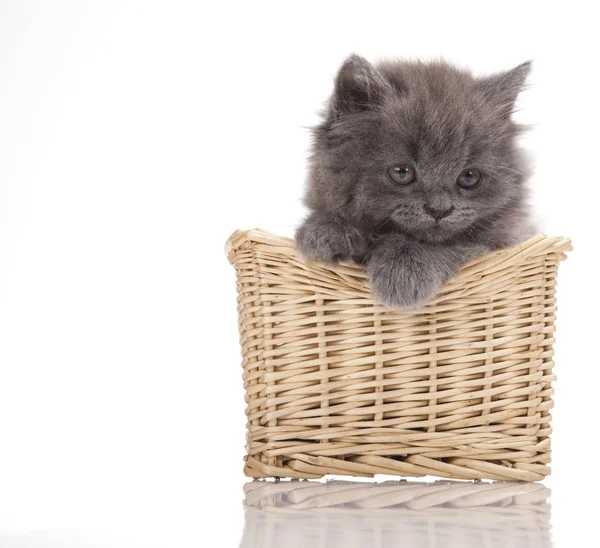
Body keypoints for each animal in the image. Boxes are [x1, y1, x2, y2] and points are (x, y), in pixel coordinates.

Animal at [296, 56, 536, 312]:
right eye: (402, 172)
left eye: (469, 177)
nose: (439, 209)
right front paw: (325, 230)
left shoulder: (501, 242)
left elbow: (458, 245)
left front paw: (403, 270)